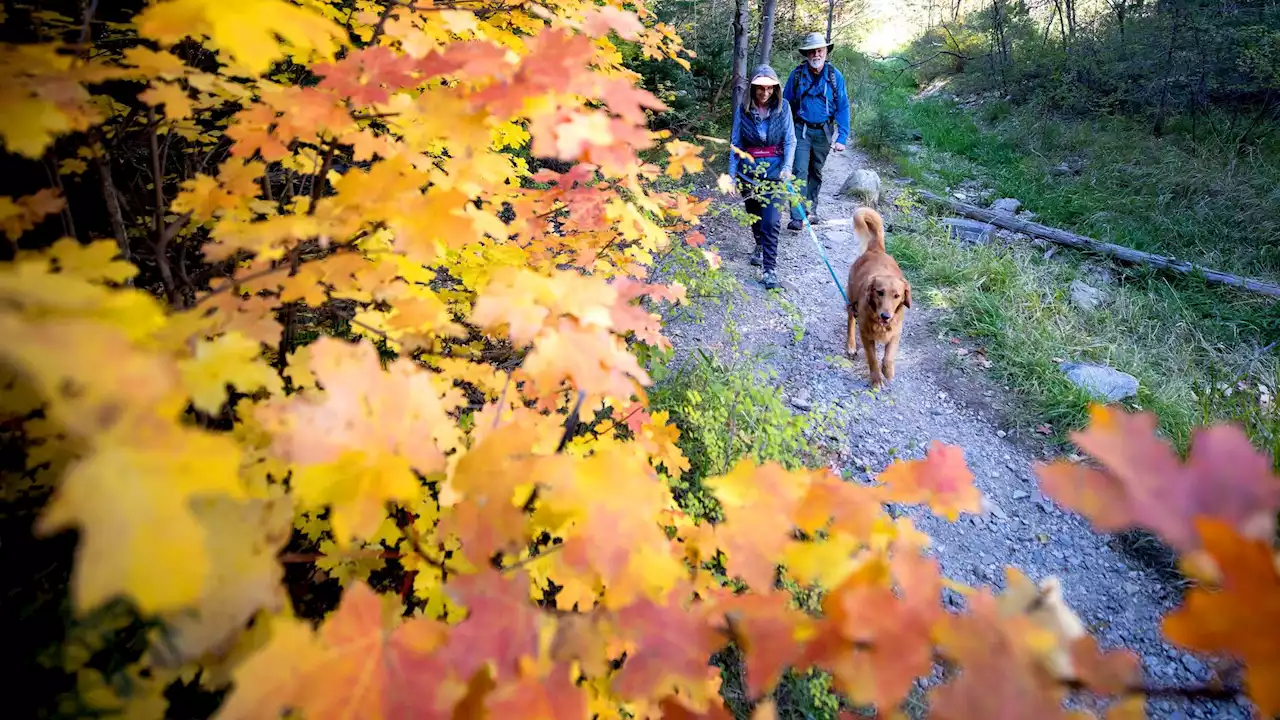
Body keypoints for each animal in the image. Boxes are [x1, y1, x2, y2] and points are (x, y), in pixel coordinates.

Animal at [849, 206, 911, 386]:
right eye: (879, 292)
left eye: (897, 295)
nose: (885, 316)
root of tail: (876, 249)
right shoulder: (865, 335)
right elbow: (873, 359)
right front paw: (876, 379)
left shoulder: (896, 333)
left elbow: (888, 356)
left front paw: (888, 371)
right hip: (850, 297)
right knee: (850, 319)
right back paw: (850, 345)